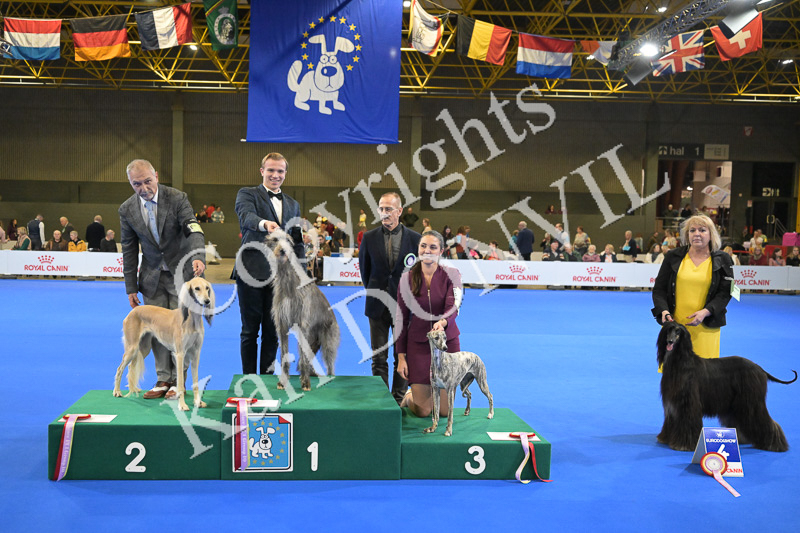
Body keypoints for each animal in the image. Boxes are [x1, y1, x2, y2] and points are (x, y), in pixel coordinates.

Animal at [113, 277, 214, 412]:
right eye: (197, 288)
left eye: (207, 288)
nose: (207, 301)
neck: (191, 319)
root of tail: (134, 310)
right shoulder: (180, 354)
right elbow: (180, 383)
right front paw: (182, 405)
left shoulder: (196, 353)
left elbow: (196, 382)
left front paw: (198, 402)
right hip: (132, 347)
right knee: (120, 368)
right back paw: (117, 391)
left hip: (143, 348)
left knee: (130, 367)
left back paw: (134, 388)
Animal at [265, 230, 339, 391]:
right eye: (274, 239)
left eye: (288, 240)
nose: (283, 250)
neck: (288, 282)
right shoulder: (282, 325)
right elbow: (284, 355)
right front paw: (283, 381)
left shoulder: (302, 324)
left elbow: (303, 357)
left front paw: (305, 383)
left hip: (328, 338)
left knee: (329, 361)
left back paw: (328, 376)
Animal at [657, 321, 796, 452]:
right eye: (669, 330)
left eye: (678, 332)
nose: (670, 341)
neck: (680, 363)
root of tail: (760, 369)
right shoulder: (672, 404)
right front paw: (666, 438)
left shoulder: (688, 403)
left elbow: (688, 421)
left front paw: (683, 445)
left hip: (752, 401)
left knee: (766, 421)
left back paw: (774, 444)